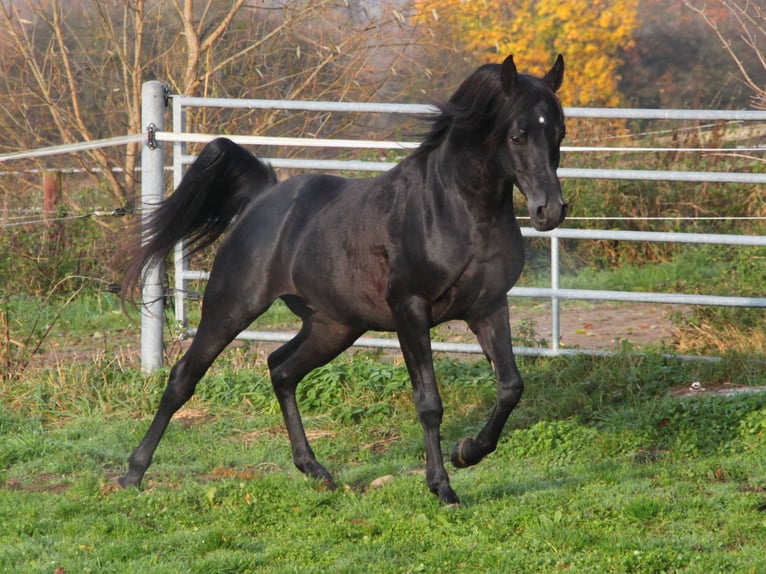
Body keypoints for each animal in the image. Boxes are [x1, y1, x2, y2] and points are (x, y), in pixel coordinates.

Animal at [119, 54, 567, 504]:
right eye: (517, 134)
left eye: (559, 132)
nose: (550, 211)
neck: (456, 211)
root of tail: (264, 197)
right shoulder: (411, 311)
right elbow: (429, 402)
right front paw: (442, 487)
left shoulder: (488, 306)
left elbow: (510, 386)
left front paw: (467, 452)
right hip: (231, 308)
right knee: (184, 377)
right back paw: (132, 473)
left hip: (334, 326)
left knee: (281, 369)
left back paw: (315, 470)